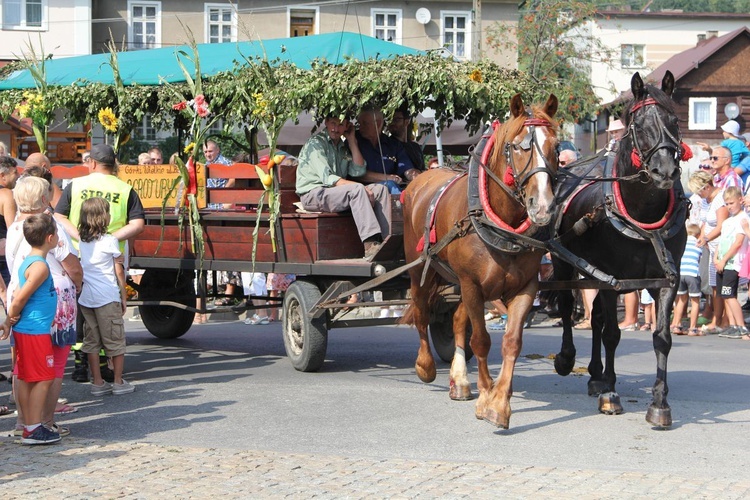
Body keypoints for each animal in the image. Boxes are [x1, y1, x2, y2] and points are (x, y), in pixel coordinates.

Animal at [406, 94, 560, 430]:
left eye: (556, 146)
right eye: (518, 146)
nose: (542, 207)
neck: (501, 226)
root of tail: (422, 178)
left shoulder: (525, 287)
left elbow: (511, 342)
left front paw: (499, 402)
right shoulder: (472, 285)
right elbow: (481, 341)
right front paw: (487, 395)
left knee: (455, 319)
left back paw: (460, 380)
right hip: (421, 268)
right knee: (422, 313)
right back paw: (425, 365)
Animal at [552, 70, 688, 428]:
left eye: (674, 120)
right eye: (639, 123)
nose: (665, 171)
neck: (643, 216)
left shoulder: (666, 280)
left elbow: (662, 337)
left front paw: (659, 403)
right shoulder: (611, 278)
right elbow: (613, 334)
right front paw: (611, 394)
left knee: (596, 317)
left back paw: (595, 375)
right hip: (563, 261)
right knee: (568, 305)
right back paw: (568, 359)